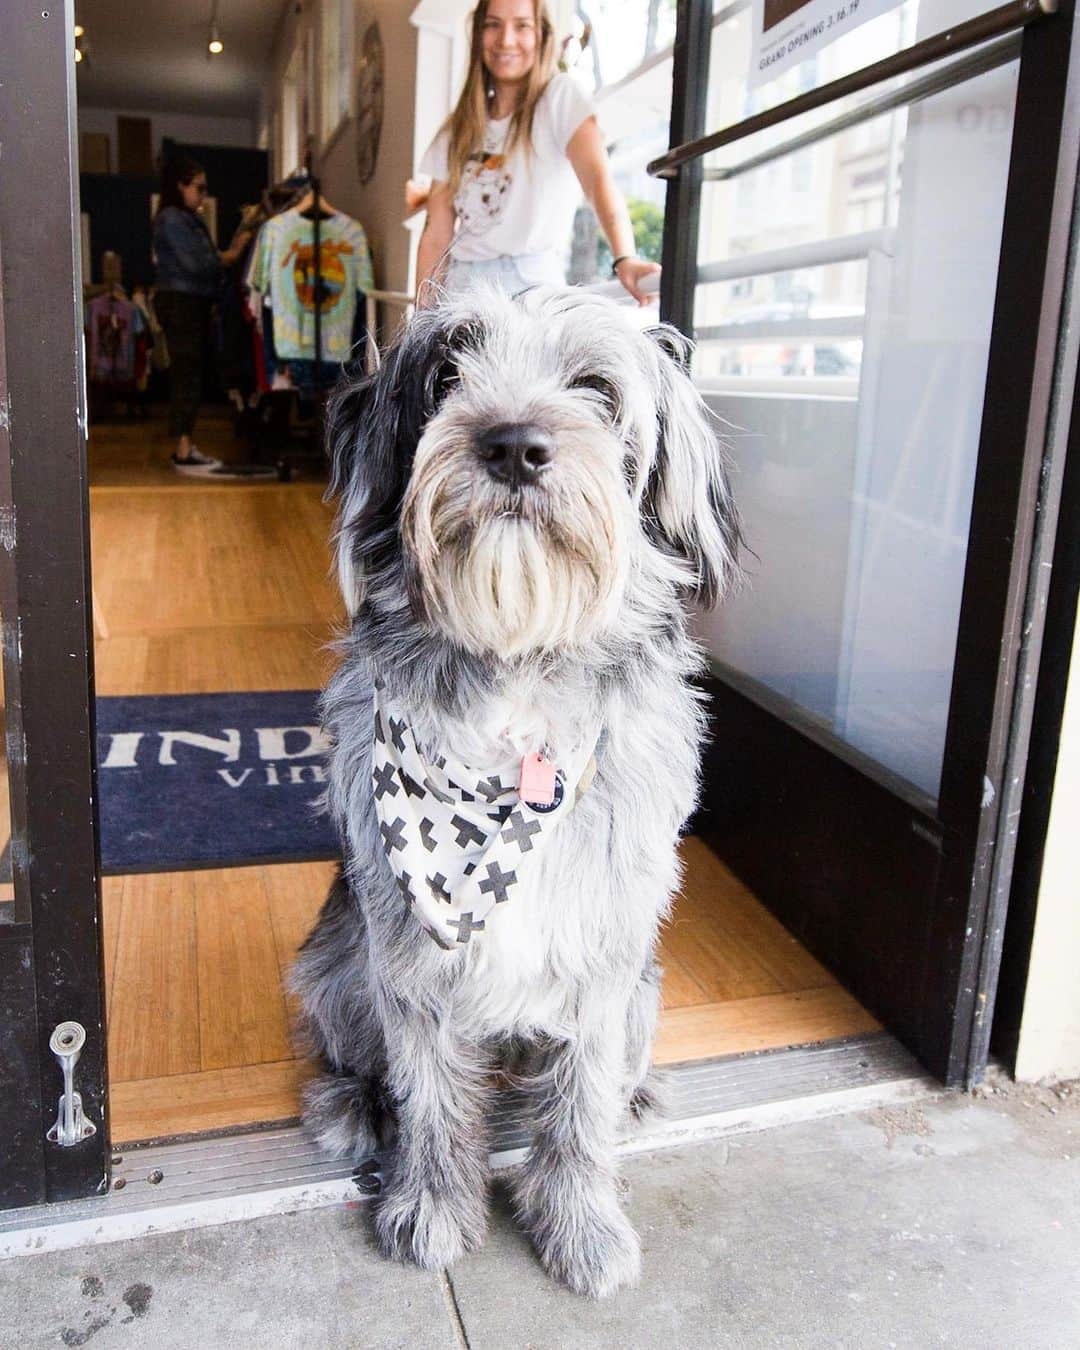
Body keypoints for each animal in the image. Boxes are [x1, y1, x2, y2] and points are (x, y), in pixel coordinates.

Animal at [291, 284, 739, 1296]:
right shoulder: (405, 960)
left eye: (596, 389)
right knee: (355, 1051)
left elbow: (577, 1110)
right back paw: (352, 1105)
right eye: (448, 372)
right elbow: (429, 1095)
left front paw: (581, 1222)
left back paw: (633, 1094)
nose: (514, 445)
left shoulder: (606, 949)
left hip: (645, 988)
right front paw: (432, 1204)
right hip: (336, 960)